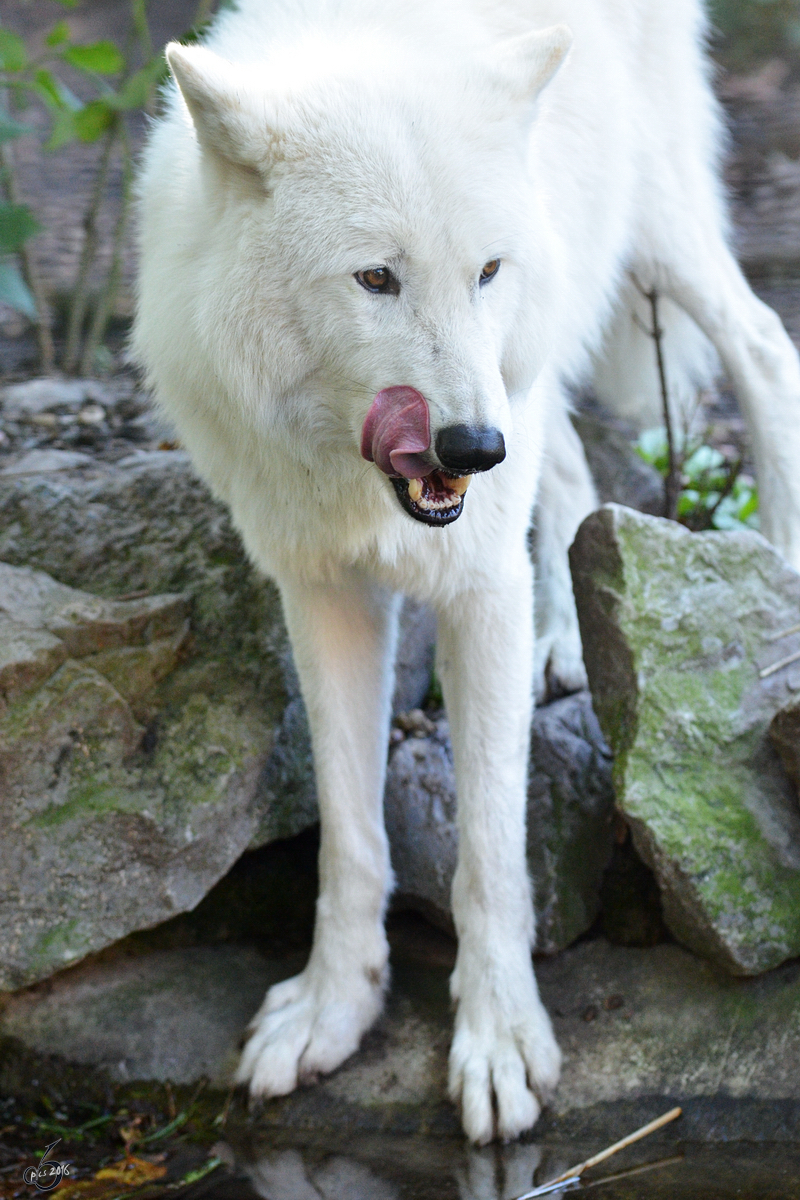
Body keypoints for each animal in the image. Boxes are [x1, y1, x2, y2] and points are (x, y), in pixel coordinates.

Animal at [134, 0, 800, 1137]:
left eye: (484, 270)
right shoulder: (320, 588)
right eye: (375, 277)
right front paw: (333, 1007)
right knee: (564, 457)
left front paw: (499, 1043)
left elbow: (490, 845)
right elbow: (347, 833)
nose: (470, 449)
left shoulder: (478, 580)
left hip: (643, 232)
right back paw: (565, 639)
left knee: (760, 346)